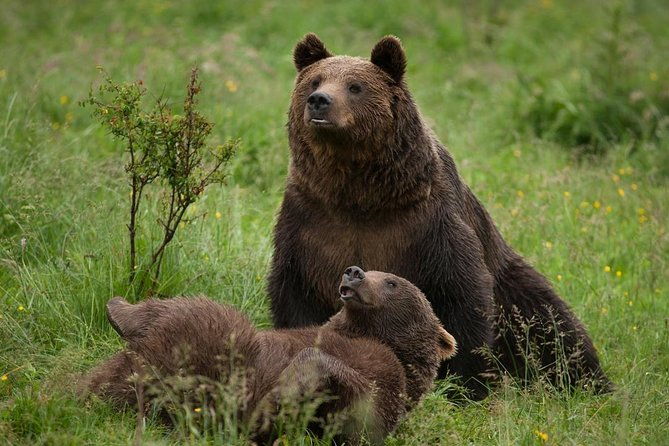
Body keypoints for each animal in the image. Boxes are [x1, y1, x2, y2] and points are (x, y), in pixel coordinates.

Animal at [81, 267, 456, 443]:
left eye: (392, 281)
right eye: (371, 268)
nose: (354, 272)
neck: (368, 332)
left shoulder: (389, 378)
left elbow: (360, 414)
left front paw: (281, 393)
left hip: (219, 373)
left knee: (217, 323)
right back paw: (119, 309)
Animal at [267, 33, 612, 399]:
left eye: (355, 86)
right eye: (315, 81)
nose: (319, 101)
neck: (361, 194)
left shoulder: (428, 222)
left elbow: (460, 293)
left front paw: (466, 385)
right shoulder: (309, 221)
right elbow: (296, 292)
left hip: (513, 285)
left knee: (550, 325)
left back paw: (588, 384)